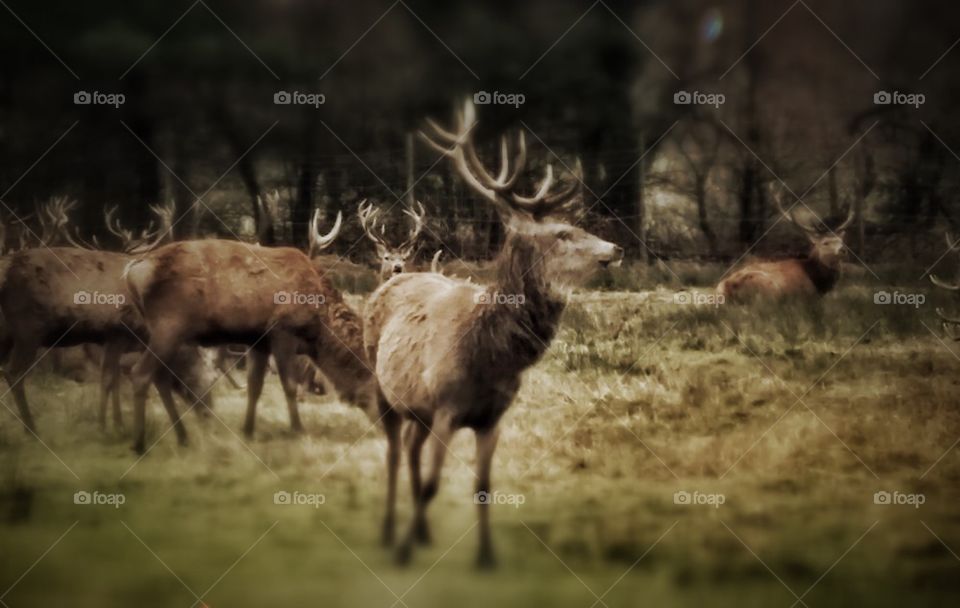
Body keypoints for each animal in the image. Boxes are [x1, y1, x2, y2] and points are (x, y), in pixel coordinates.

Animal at [122, 208, 367, 454]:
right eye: (361, 365)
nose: (367, 403)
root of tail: (131, 271)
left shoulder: (258, 341)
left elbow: (254, 386)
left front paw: (248, 431)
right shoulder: (282, 331)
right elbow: (289, 385)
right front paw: (297, 429)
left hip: (159, 331)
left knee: (160, 377)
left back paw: (182, 437)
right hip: (169, 325)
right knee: (141, 373)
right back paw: (139, 442)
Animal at [363, 99, 623, 568]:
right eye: (562, 233)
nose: (616, 247)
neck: (489, 359)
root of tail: (392, 279)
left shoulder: (492, 417)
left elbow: (483, 488)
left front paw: (486, 557)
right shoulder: (446, 407)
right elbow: (432, 486)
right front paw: (404, 551)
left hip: (417, 408)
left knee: (409, 449)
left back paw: (423, 532)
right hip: (382, 386)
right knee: (392, 454)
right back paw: (391, 531)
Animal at [717, 186, 855, 301]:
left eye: (841, 241)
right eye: (825, 243)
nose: (843, 250)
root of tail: (729, 287)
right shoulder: (808, 293)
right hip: (770, 290)